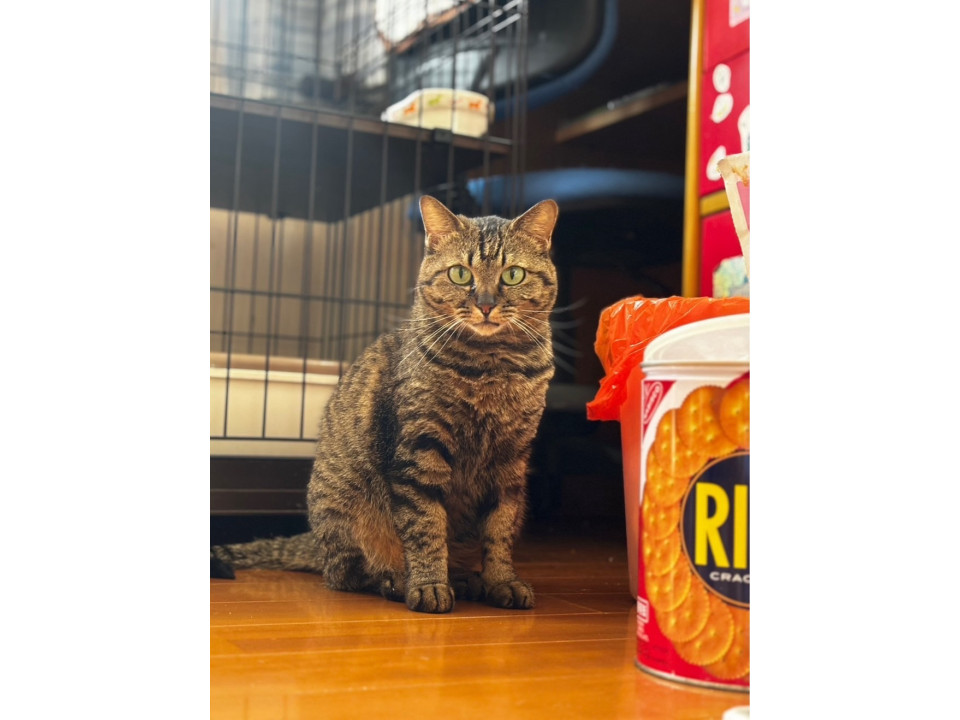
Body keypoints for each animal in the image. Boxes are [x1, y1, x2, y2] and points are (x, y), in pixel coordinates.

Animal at [211, 195, 559, 613]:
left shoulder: (511, 460)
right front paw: (429, 584)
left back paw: (466, 578)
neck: (490, 368)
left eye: (513, 275)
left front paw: (501, 581)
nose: (486, 304)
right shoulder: (420, 450)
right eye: (461, 274)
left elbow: (500, 528)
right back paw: (397, 579)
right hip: (346, 513)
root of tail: (315, 542)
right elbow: (426, 526)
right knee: (346, 574)